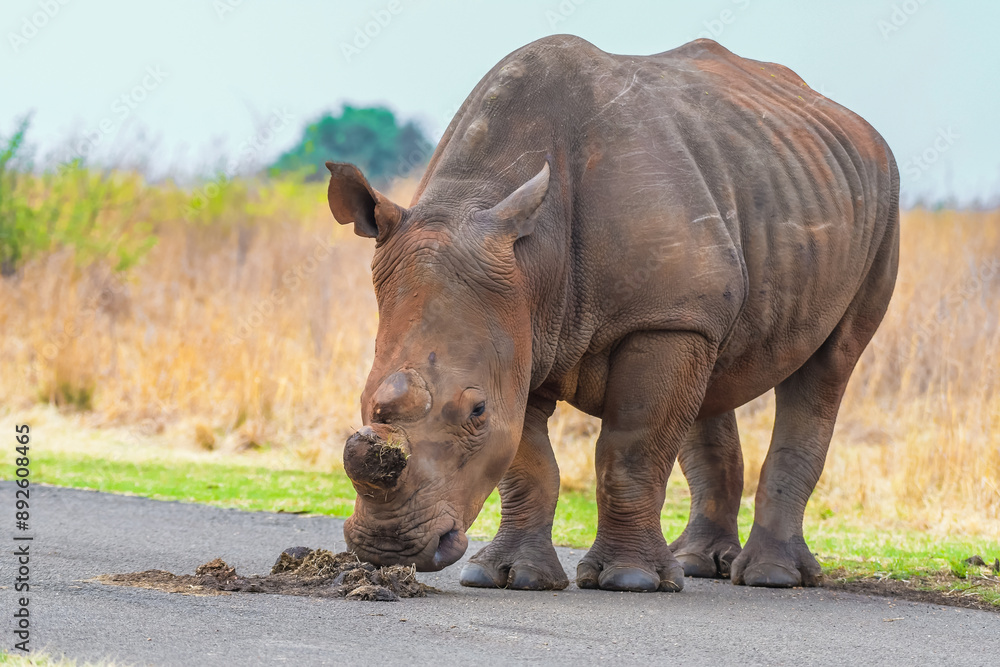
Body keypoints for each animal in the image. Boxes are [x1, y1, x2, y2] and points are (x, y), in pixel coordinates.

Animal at [327, 35, 899, 592]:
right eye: (364, 399)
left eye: (476, 411)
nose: (388, 548)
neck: (532, 258)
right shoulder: (525, 329)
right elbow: (526, 463)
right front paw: (508, 578)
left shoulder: (654, 319)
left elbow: (630, 451)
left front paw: (629, 580)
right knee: (712, 369)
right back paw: (697, 564)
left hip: (879, 206)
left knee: (828, 367)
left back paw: (770, 577)